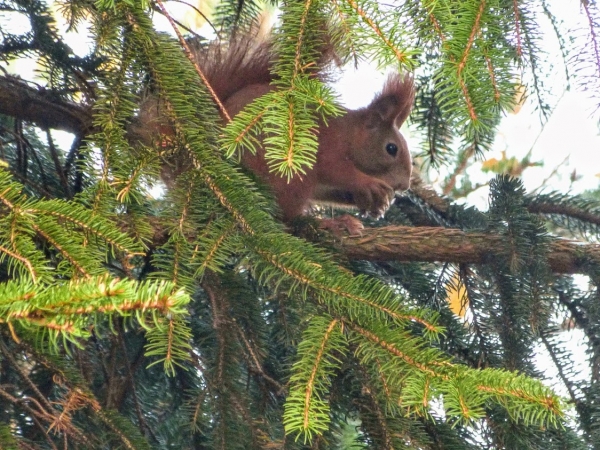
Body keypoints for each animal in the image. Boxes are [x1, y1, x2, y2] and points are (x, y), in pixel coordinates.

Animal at [142, 37, 412, 230]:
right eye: (391, 149)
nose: (404, 185)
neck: (349, 134)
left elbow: (332, 190)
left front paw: (377, 201)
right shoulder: (328, 147)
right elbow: (338, 170)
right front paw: (369, 184)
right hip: (291, 176)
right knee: (288, 219)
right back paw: (333, 225)